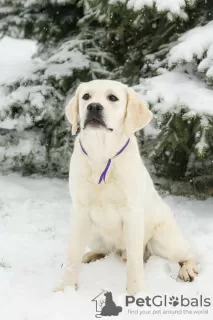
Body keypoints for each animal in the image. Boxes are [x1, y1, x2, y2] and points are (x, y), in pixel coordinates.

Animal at [55, 79, 200, 294]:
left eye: (113, 98)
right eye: (86, 96)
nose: (94, 107)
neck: (102, 155)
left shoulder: (132, 214)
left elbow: (134, 263)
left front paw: (134, 292)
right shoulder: (80, 212)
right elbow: (72, 255)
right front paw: (65, 288)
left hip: (165, 241)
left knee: (188, 254)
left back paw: (187, 269)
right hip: (94, 235)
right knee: (107, 251)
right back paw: (89, 256)